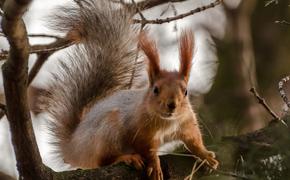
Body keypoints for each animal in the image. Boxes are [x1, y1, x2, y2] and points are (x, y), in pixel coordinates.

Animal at [42, 0, 219, 179]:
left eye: (185, 91)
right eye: (155, 90)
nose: (172, 105)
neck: (166, 122)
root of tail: (73, 147)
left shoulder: (187, 122)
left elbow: (194, 140)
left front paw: (206, 155)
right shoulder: (140, 131)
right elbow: (148, 150)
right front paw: (155, 165)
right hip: (107, 131)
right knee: (104, 160)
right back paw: (128, 157)